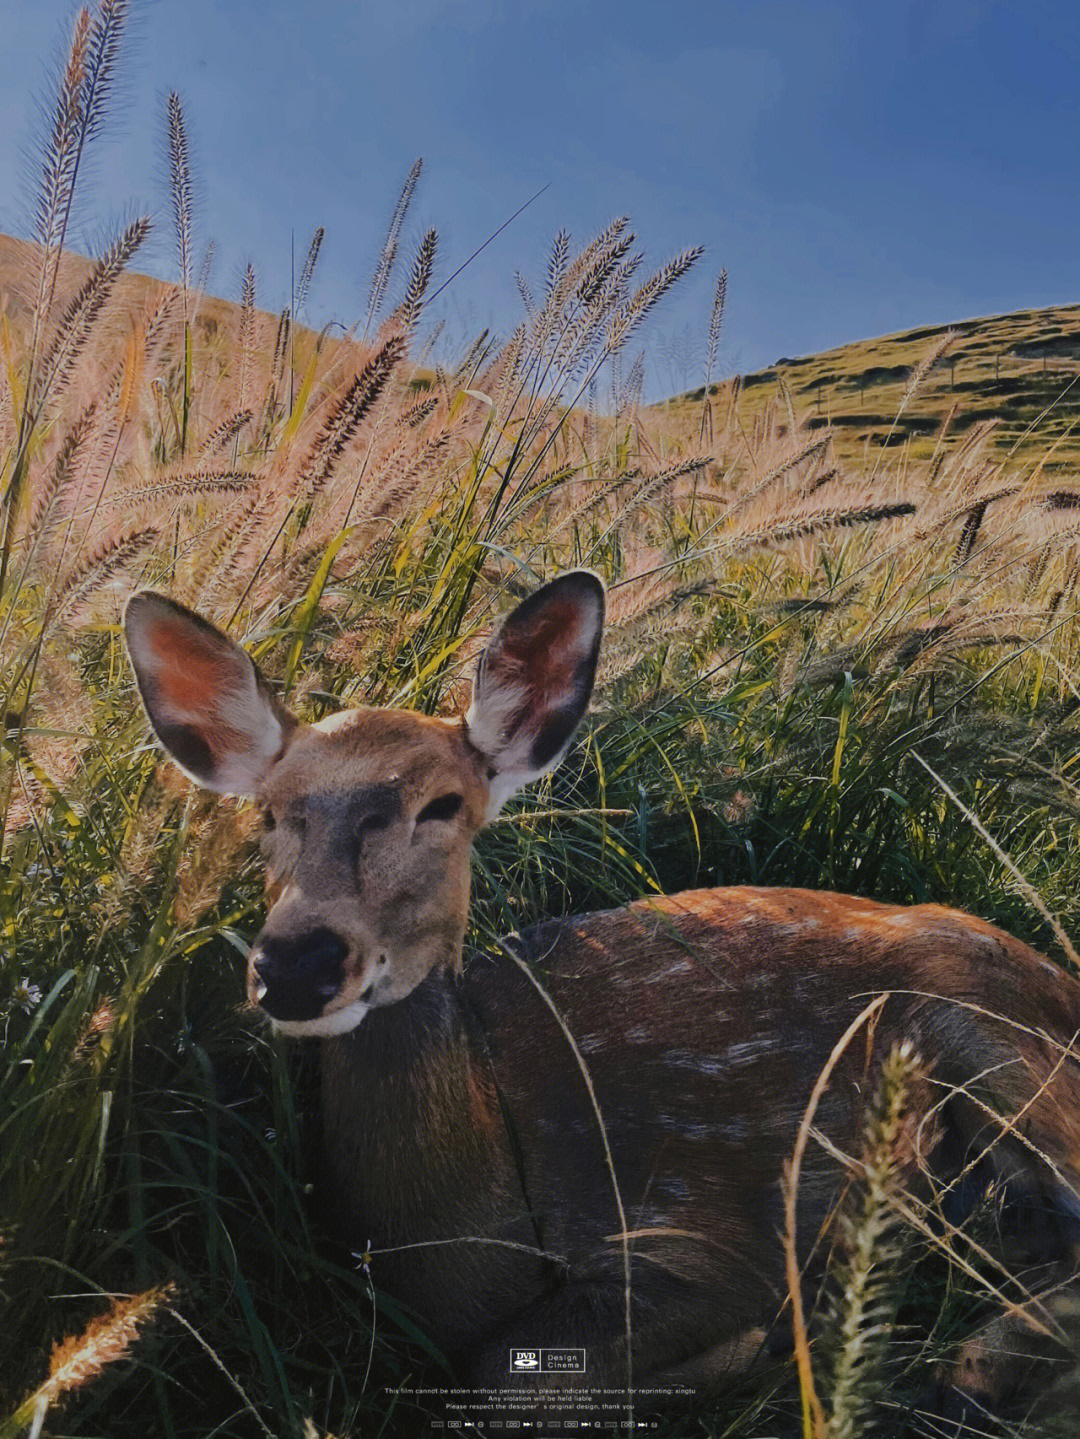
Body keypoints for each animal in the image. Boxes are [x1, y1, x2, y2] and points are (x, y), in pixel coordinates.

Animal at [122, 566, 1080, 1410]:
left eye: (442, 804)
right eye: (269, 813)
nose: (295, 963)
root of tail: (1061, 978)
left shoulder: (704, 1237)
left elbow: (505, 1369)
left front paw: (759, 1345)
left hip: (986, 1030)